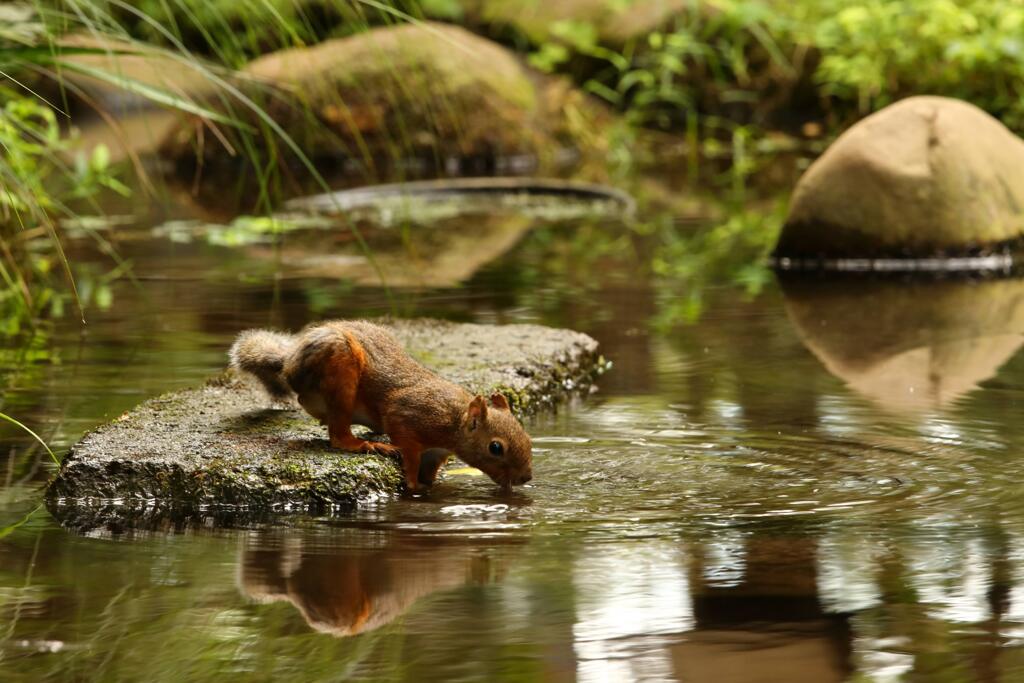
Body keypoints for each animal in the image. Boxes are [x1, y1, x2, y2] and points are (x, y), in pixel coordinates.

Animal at [228, 321, 532, 491]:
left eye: (528, 437)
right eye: (496, 448)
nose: (526, 478)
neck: (454, 420)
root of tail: (290, 362)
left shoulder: (436, 453)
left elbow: (430, 468)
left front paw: (430, 486)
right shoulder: (406, 415)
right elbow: (409, 450)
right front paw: (412, 483)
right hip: (341, 369)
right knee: (338, 435)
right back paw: (365, 444)